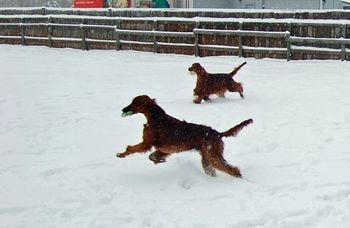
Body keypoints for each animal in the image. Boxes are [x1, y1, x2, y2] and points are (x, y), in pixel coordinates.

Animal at [117, 95, 252, 177]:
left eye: (134, 102)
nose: (123, 109)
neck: (156, 118)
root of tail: (218, 133)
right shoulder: (163, 149)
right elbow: (152, 156)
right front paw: (159, 160)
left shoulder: (146, 143)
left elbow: (131, 148)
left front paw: (121, 154)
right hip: (207, 159)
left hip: (213, 156)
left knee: (232, 169)